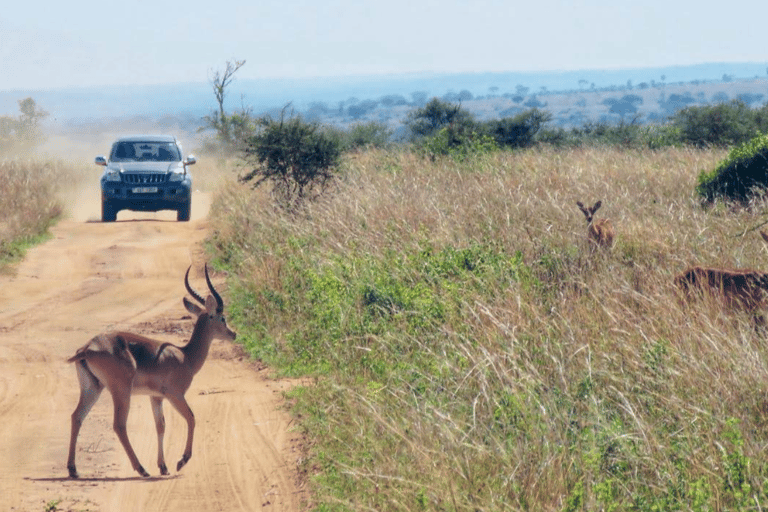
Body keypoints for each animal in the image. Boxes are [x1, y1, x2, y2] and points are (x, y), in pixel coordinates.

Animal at [67, 266, 236, 478]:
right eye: (222, 317)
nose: (233, 334)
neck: (185, 356)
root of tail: (87, 348)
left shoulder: (156, 397)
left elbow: (161, 426)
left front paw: (163, 466)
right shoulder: (175, 394)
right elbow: (191, 418)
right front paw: (181, 461)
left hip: (93, 388)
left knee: (77, 416)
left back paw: (73, 470)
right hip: (121, 391)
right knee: (119, 425)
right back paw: (142, 469)